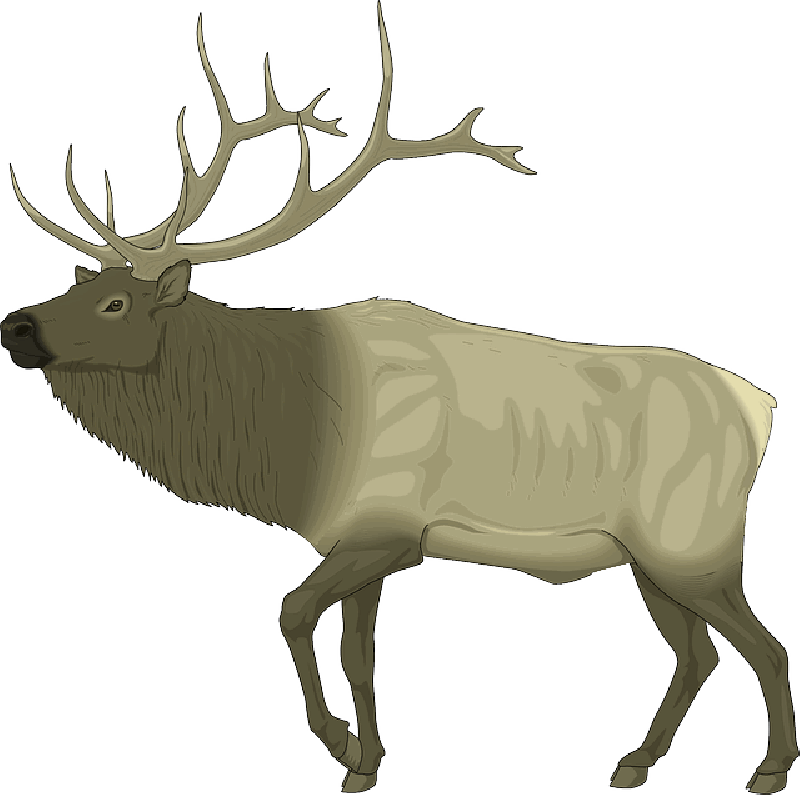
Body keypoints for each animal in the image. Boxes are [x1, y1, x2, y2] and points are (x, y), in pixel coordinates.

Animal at [0, 4, 796, 794]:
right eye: (74, 286)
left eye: (115, 303)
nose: (15, 325)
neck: (289, 441)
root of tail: (762, 408)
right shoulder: (361, 543)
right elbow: (360, 655)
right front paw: (368, 760)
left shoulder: (382, 530)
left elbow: (291, 614)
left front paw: (340, 743)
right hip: (649, 558)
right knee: (699, 653)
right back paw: (634, 760)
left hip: (693, 543)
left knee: (763, 645)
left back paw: (764, 768)